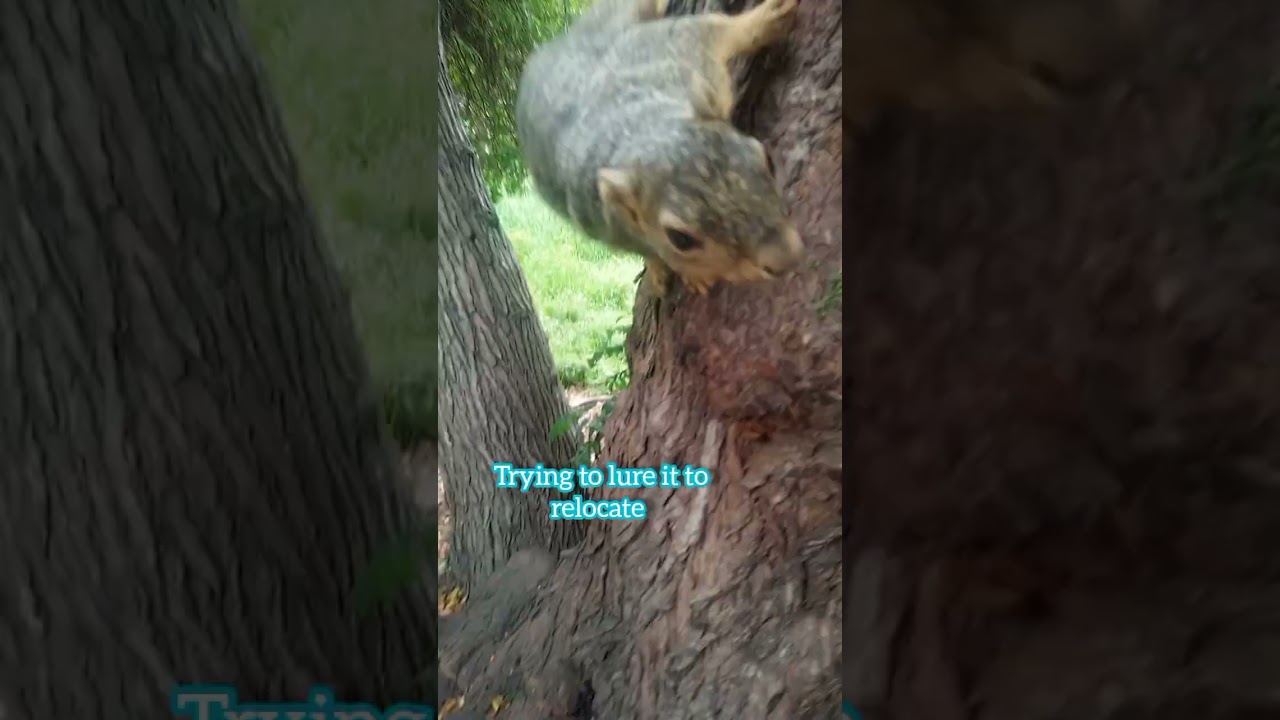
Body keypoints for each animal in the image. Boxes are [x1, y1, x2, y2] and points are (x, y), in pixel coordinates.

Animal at [515, 0, 805, 298]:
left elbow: (714, 29)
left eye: (767, 159)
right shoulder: (598, 220)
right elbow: (646, 249)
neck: (642, 128)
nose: (787, 258)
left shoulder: (679, 51)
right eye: (680, 239)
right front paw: (681, 271)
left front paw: (768, 17)